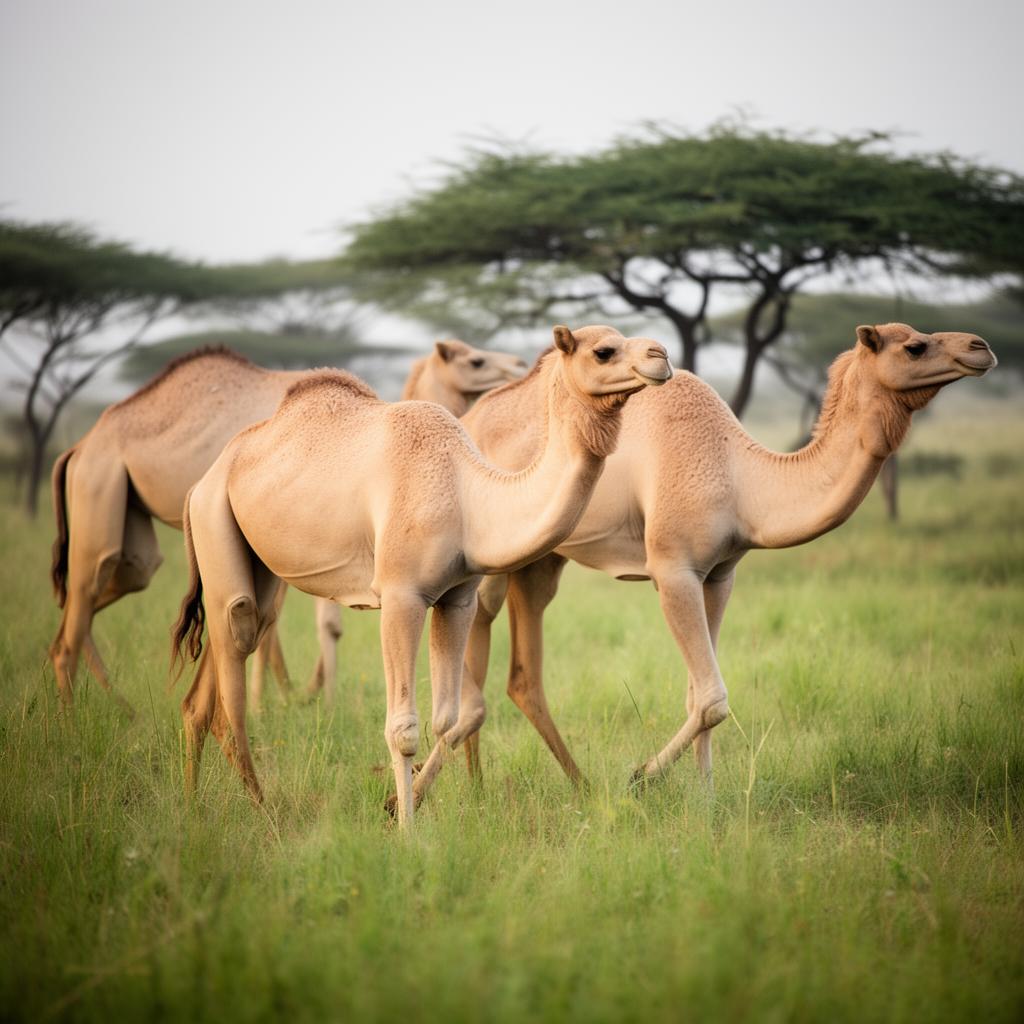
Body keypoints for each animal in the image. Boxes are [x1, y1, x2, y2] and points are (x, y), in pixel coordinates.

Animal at [49, 340, 526, 709]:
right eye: (476, 361)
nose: (519, 364)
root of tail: (78, 447)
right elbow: (294, 623)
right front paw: (282, 702)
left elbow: (308, 622)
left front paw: (305, 695)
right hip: (99, 482)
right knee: (88, 581)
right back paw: (72, 713)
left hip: (128, 519)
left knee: (109, 582)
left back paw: (115, 702)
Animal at [169, 326, 671, 828]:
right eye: (603, 351)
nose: (661, 356)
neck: (470, 499)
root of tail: (203, 481)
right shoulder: (400, 596)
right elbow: (403, 728)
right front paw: (406, 828)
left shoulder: (457, 598)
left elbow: (446, 717)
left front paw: (403, 807)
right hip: (215, 523)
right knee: (233, 666)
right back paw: (260, 808)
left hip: (255, 561)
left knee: (211, 682)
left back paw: (193, 807)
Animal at [406, 323, 996, 803]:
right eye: (915, 345)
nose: (980, 347)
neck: (740, 476)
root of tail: (471, 420)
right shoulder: (674, 568)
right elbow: (712, 697)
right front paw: (640, 776)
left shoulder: (720, 574)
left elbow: (698, 697)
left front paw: (705, 801)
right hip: (495, 557)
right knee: (479, 633)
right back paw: (428, 788)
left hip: (541, 563)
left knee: (523, 676)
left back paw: (542, 785)